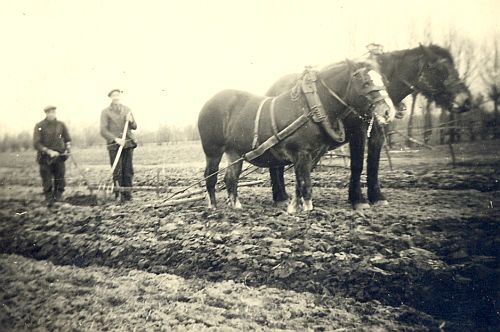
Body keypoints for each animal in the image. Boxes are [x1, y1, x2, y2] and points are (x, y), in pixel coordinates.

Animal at [197, 60, 396, 213]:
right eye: (365, 83)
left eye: (383, 81)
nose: (387, 111)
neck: (312, 106)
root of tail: (208, 102)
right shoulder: (301, 152)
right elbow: (306, 184)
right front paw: (308, 211)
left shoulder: (313, 154)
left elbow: (301, 183)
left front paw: (293, 207)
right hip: (213, 150)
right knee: (210, 176)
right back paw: (213, 207)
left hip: (235, 152)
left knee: (231, 177)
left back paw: (236, 206)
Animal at [268, 44, 470, 210]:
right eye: (437, 68)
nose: (466, 101)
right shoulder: (357, 131)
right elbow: (357, 164)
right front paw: (358, 199)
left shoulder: (379, 133)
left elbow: (373, 164)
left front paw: (377, 197)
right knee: (275, 166)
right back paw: (281, 197)